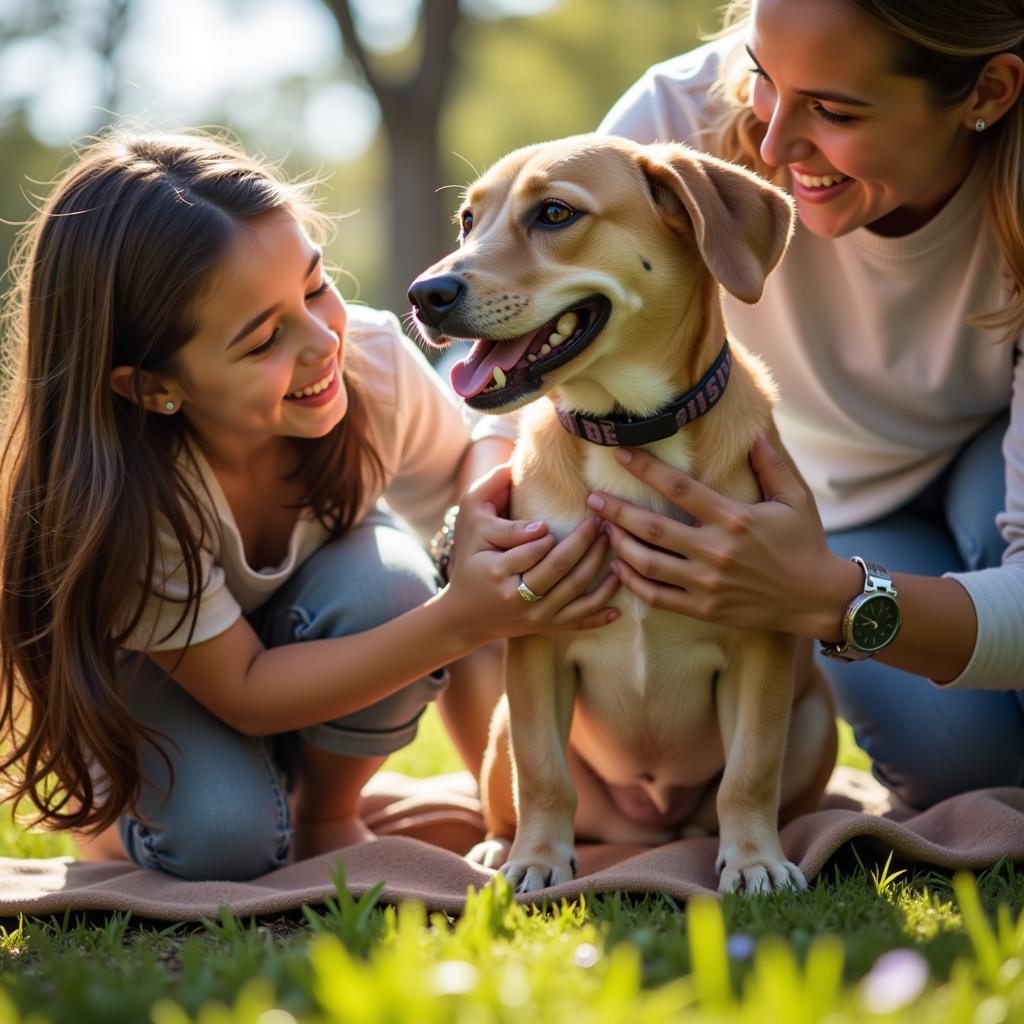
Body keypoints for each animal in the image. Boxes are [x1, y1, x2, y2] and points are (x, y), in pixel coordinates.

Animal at [403, 138, 835, 897]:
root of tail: (645, 832)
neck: (630, 428)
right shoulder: (537, 643)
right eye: (467, 220)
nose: (425, 295)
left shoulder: (761, 639)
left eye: (554, 213)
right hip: (502, 728)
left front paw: (754, 860)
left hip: (815, 716)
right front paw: (537, 861)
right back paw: (498, 845)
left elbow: (751, 771)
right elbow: (542, 774)